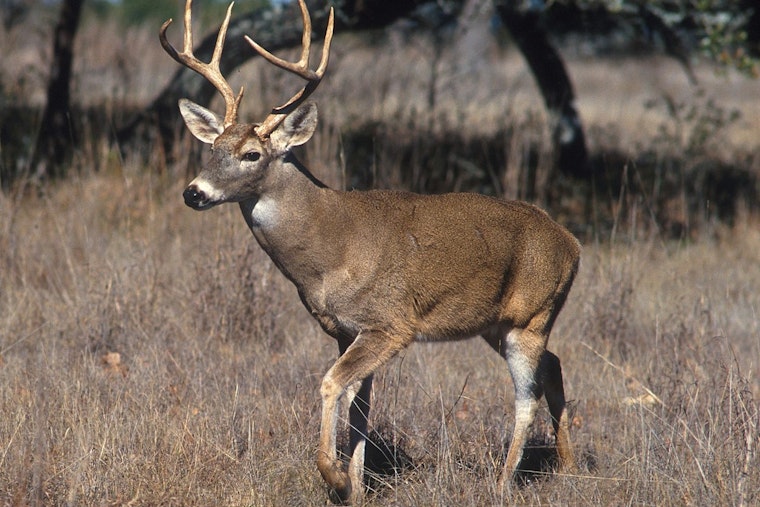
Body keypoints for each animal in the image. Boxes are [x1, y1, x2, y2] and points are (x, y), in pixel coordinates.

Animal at [160, 0, 580, 503]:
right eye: (213, 148)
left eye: (251, 155)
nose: (194, 193)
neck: (330, 251)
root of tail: (572, 243)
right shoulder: (345, 330)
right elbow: (359, 406)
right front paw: (357, 486)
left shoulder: (390, 324)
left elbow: (331, 384)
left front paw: (336, 476)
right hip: (497, 324)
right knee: (553, 367)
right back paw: (570, 467)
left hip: (531, 316)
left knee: (527, 395)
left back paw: (501, 483)